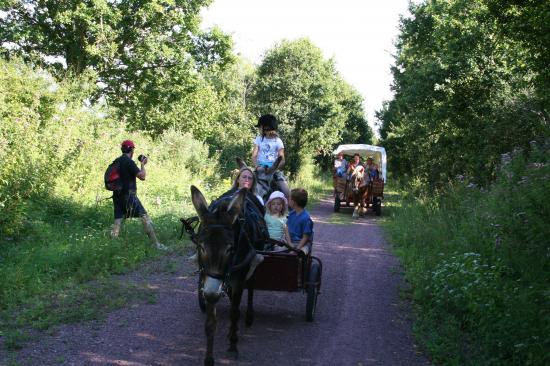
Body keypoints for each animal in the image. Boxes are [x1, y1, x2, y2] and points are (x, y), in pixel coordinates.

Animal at [191, 186, 266, 366]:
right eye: (201, 246)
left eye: (230, 249)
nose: (212, 293)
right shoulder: (207, 280)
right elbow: (211, 322)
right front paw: (208, 358)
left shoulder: (237, 280)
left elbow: (234, 313)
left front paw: (233, 345)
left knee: (250, 287)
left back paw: (249, 317)